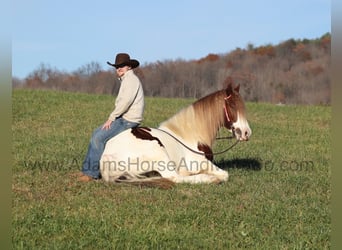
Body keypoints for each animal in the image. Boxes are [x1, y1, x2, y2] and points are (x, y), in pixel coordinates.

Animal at [99, 82, 251, 189]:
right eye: (232, 105)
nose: (246, 132)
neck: (191, 136)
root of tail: (106, 156)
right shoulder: (202, 162)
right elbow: (225, 174)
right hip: (158, 151)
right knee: (175, 178)